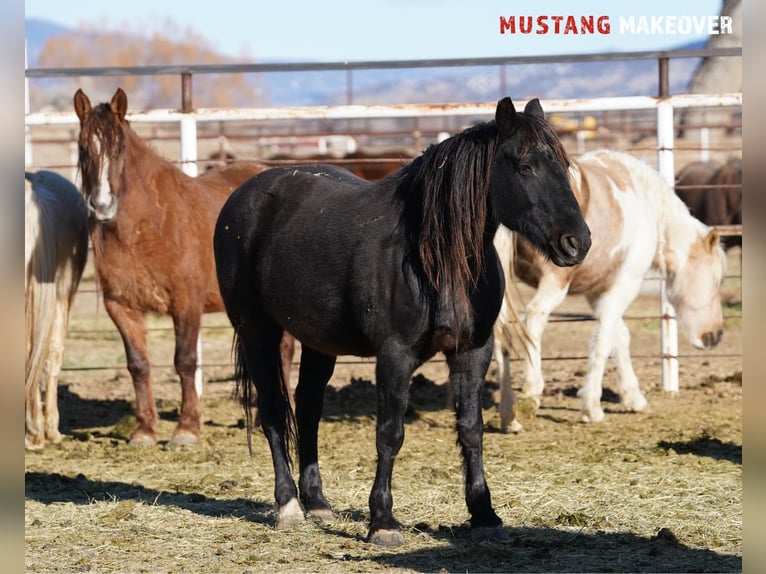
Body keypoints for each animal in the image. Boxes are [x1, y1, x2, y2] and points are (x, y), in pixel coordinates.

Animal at [73, 88, 294, 448]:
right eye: (82, 147)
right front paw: (144, 430)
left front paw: (186, 428)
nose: (102, 206)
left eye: (119, 148)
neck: (147, 225)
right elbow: (138, 364)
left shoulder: (186, 303)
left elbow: (186, 361)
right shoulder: (120, 306)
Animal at [216, 97, 592, 548]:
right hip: (257, 329)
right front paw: (382, 522)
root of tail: (242, 195)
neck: (435, 256)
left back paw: (318, 503)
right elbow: (390, 433)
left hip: (319, 340)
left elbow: (471, 428)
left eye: (563, 165)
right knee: (273, 409)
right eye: (524, 166)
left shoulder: (472, 351)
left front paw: (484, 514)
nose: (577, 242)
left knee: (307, 407)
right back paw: (289, 506)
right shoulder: (395, 355)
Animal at [496, 150, 728, 432]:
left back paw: (509, 415)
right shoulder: (623, 285)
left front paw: (633, 397)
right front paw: (592, 407)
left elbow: (620, 337)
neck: (645, 201)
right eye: (717, 280)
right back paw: (531, 392)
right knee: (534, 317)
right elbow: (604, 341)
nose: (714, 336)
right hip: (554, 283)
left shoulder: (598, 292)